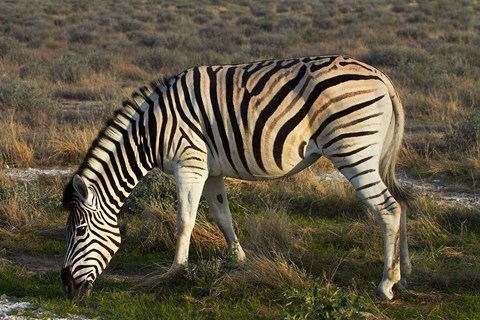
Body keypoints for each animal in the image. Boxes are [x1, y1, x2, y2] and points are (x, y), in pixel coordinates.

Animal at [61, 54, 412, 300]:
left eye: (79, 231)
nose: (66, 287)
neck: (151, 132)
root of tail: (382, 77)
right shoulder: (210, 171)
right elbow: (223, 216)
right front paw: (239, 260)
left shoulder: (189, 163)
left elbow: (184, 220)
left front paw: (176, 272)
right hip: (374, 152)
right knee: (401, 202)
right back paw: (403, 270)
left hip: (352, 148)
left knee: (388, 208)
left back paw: (385, 284)